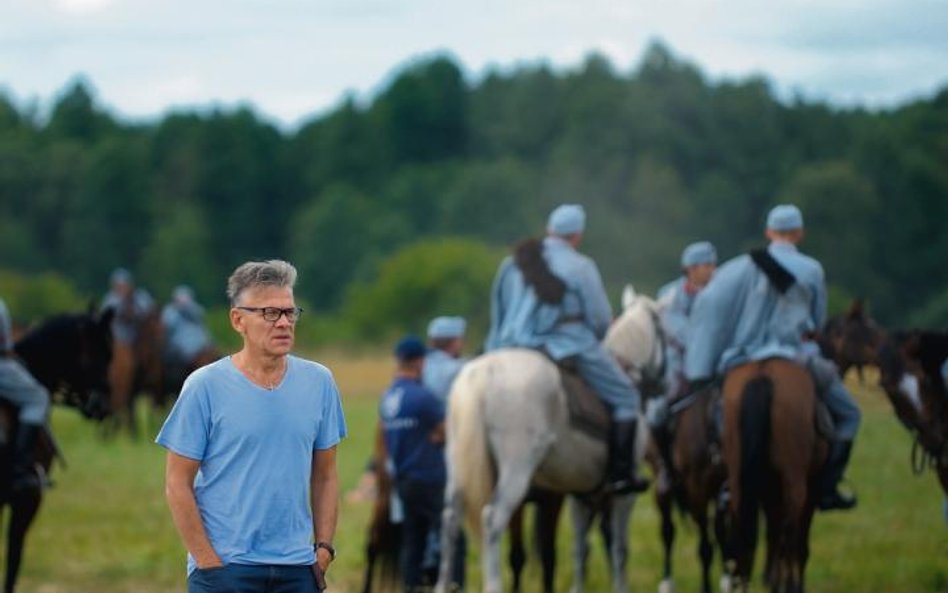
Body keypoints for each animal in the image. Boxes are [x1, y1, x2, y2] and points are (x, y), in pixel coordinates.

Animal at [436, 286, 668, 592]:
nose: (662, 385)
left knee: (451, 520)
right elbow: (619, 550)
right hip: (516, 471)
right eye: (665, 334)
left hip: (458, 469)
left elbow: (580, 549)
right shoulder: (623, 494)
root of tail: (482, 375)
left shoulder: (581, 494)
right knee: (492, 519)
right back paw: (493, 584)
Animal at [724, 356, 824, 592]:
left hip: (740, 482)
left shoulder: (770, 492)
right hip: (795, 486)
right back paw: (791, 584)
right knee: (791, 535)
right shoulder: (810, 491)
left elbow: (772, 533)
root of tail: (763, 373)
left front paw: (770, 580)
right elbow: (797, 542)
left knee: (745, 530)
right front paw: (789, 583)